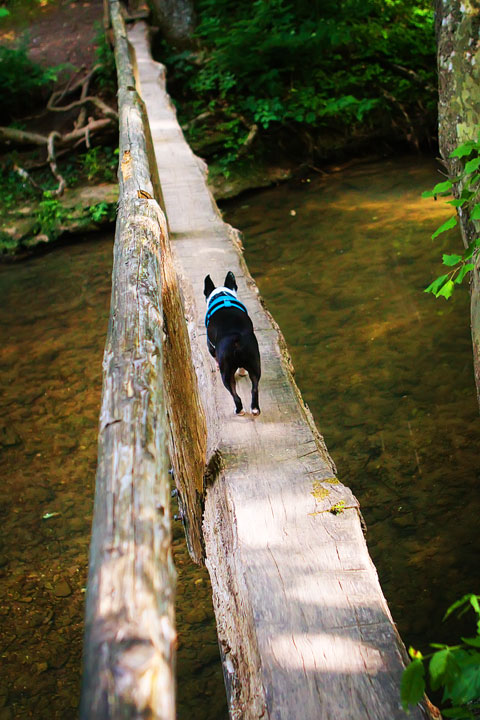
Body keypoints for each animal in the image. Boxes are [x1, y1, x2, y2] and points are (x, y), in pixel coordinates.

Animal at [203, 270, 260, 416]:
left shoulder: (210, 346)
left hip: (226, 373)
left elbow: (214, 356)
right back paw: (255, 409)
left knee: (235, 395)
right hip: (254, 363)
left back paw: (239, 410)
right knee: (254, 388)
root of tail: (236, 339)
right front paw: (242, 372)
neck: (223, 296)